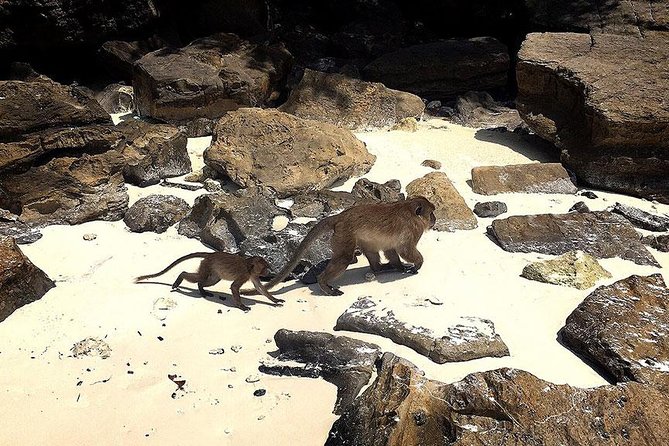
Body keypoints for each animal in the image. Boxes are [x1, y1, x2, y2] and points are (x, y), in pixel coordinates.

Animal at [135, 252, 284, 312]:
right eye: (264, 268)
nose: (268, 272)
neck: (249, 266)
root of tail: (210, 254)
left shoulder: (252, 275)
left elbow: (260, 288)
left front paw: (275, 300)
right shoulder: (244, 274)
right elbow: (234, 287)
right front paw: (242, 306)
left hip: (211, 268)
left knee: (212, 280)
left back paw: (202, 289)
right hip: (206, 265)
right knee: (199, 278)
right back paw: (182, 277)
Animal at [242, 196, 436, 296]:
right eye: (431, 212)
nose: (434, 219)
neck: (410, 210)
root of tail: (340, 217)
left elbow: (390, 249)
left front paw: (399, 266)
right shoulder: (413, 228)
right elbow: (405, 249)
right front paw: (417, 264)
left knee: (370, 249)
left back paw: (380, 268)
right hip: (344, 235)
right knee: (344, 258)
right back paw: (324, 283)